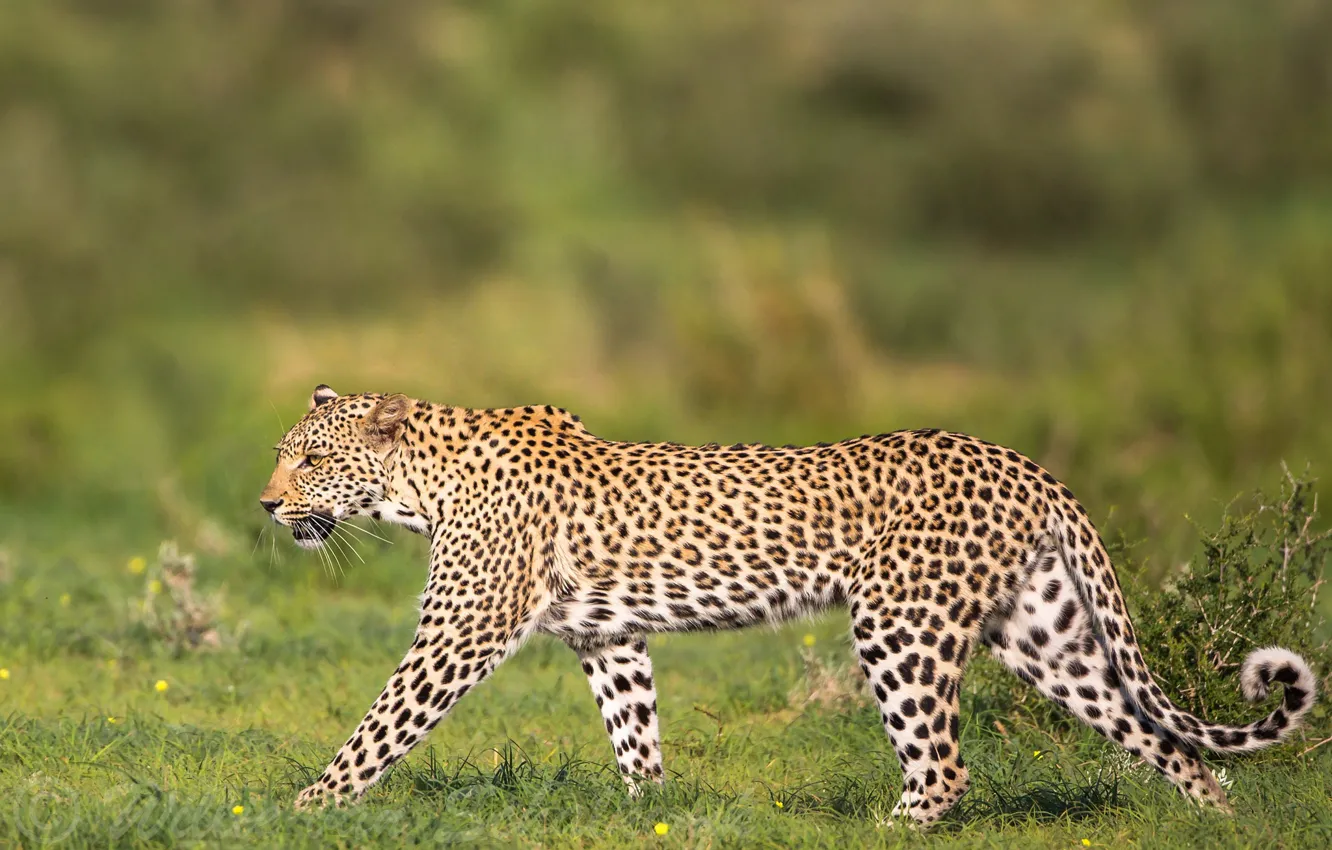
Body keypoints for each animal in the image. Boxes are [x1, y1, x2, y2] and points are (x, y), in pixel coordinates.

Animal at [259, 385, 1317, 825]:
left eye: (309, 459)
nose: (267, 503)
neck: (418, 486)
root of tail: (1021, 461)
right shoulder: (611, 635)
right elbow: (634, 733)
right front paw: (649, 809)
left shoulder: (463, 629)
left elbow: (380, 725)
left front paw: (305, 807)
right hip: (1044, 632)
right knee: (1160, 736)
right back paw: (1219, 821)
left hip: (898, 622)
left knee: (944, 769)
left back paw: (883, 827)